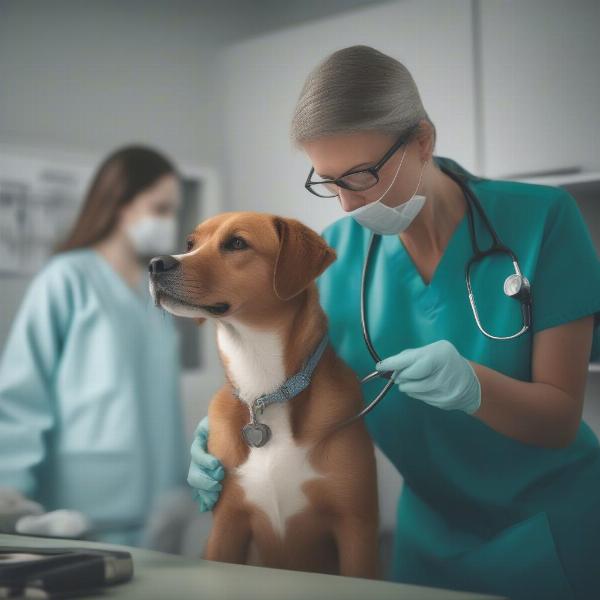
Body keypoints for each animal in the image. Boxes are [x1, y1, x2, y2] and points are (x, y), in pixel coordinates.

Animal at [148, 213, 378, 580]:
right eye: (190, 244)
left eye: (237, 243)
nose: (155, 263)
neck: (263, 390)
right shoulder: (227, 523)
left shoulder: (356, 527)